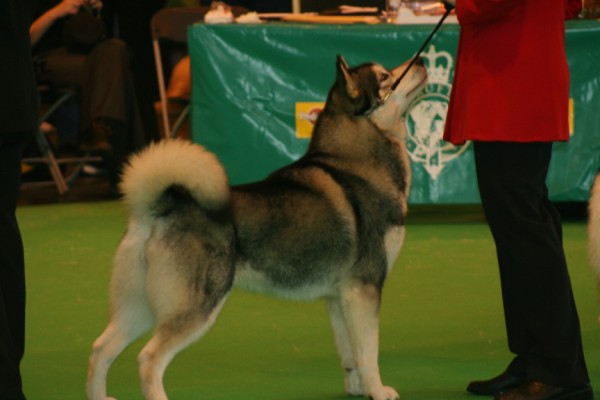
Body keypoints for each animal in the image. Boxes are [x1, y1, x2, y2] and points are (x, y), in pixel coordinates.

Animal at [86, 54, 428, 400]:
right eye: (385, 76)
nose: (423, 60)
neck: (355, 164)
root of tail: (160, 209)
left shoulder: (339, 297)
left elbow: (350, 354)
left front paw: (357, 389)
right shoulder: (364, 289)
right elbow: (368, 353)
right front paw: (378, 391)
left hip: (140, 305)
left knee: (101, 348)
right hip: (197, 304)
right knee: (149, 358)